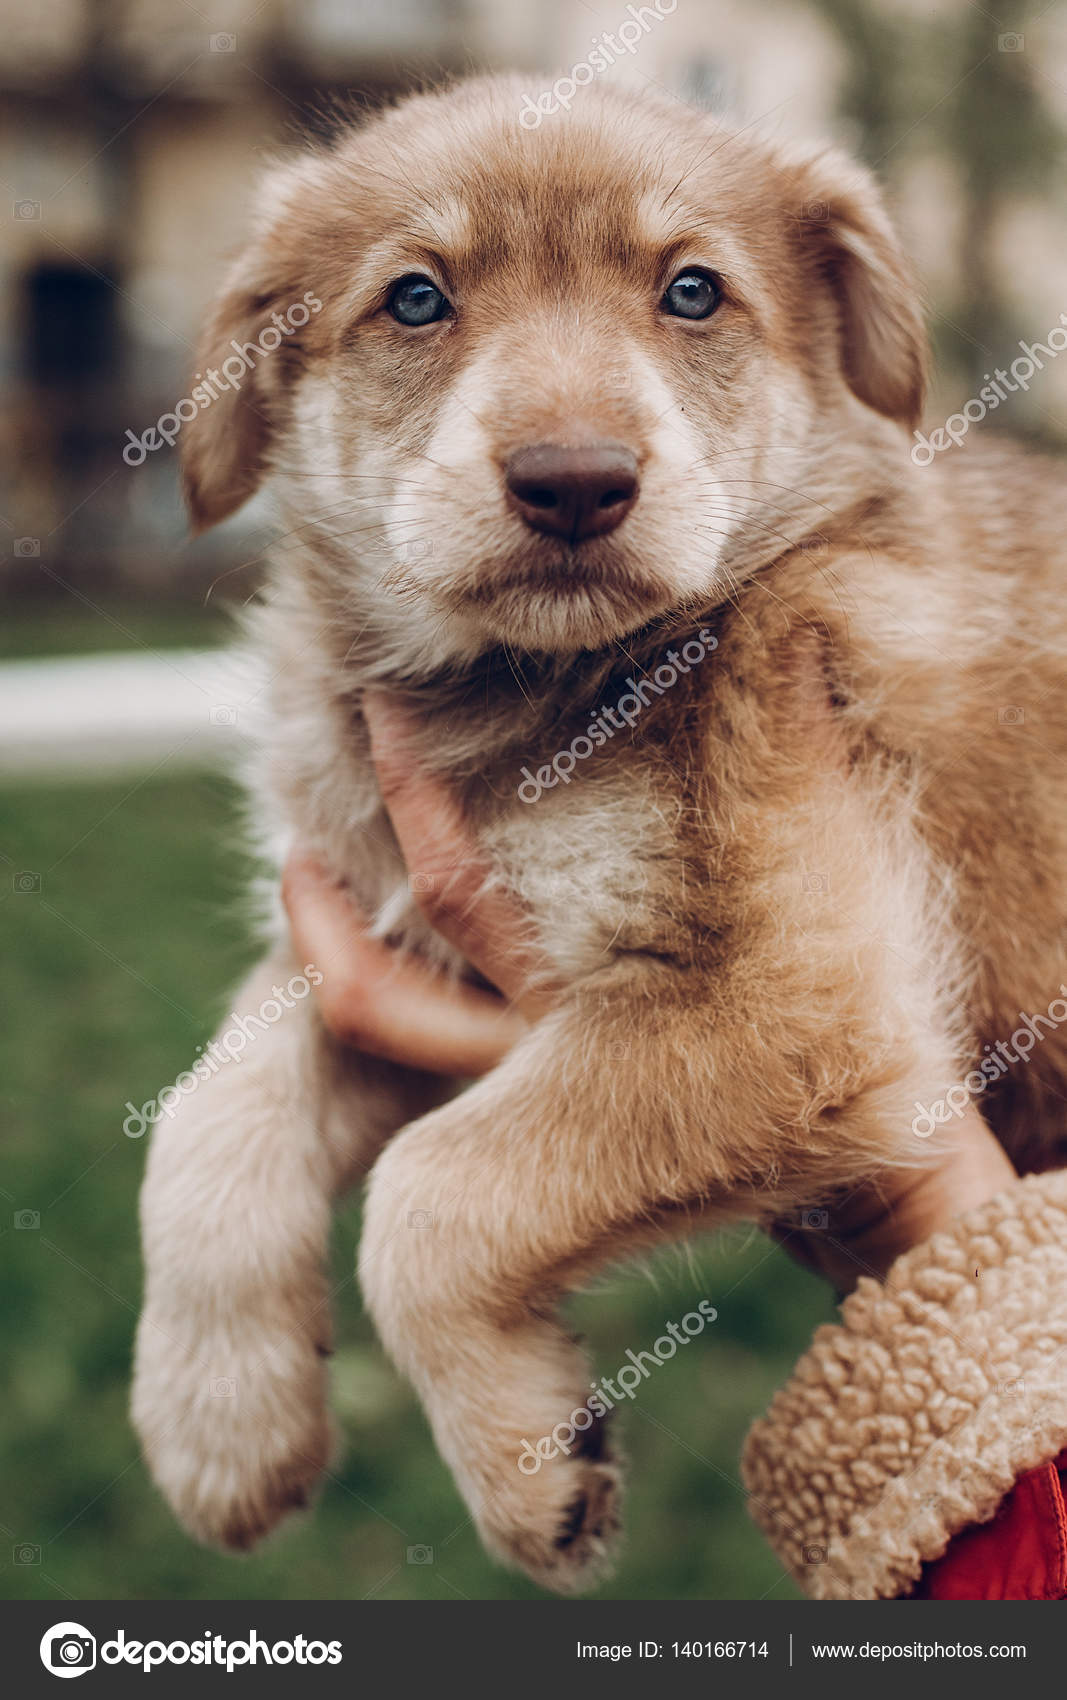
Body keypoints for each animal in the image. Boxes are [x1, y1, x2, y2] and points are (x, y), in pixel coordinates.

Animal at [131, 76, 1067, 1591]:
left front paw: (525, 1465)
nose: (572, 481)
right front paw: (217, 1424)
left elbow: (430, 1193)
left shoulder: (788, 1003)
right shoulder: (386, 942)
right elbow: (213, 1113)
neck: (524, 696)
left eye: (691, 291)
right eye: (413, 298)